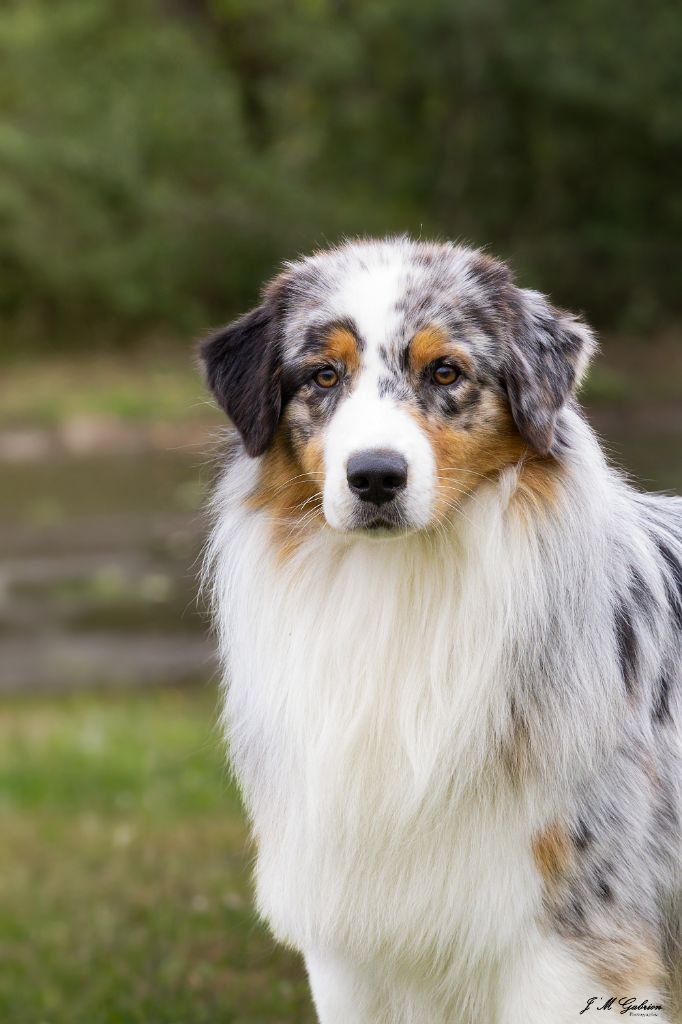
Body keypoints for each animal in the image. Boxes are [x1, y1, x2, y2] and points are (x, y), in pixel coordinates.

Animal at [199, 239, 675, 1024]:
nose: (375, 477)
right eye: (323, 375)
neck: (407, 591)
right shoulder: (353, 945)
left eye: (445, 371)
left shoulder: (571, 935)